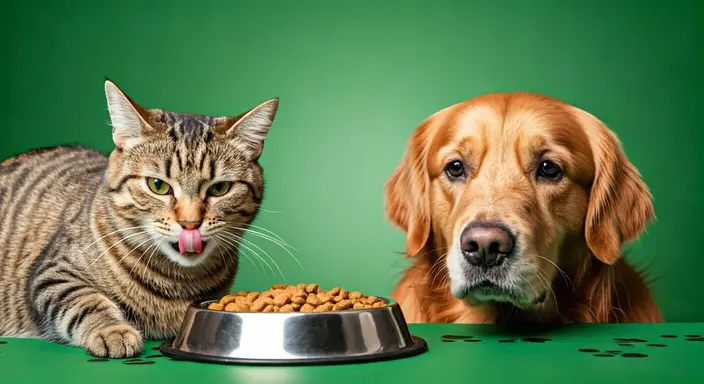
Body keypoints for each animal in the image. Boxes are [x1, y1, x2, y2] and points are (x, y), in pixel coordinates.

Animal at [0, 79, 280, 358]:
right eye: (158, 186)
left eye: (220, 189)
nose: (190, 223)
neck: (177, 282)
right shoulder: (52, 273)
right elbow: (85, 300)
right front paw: (112, 330)